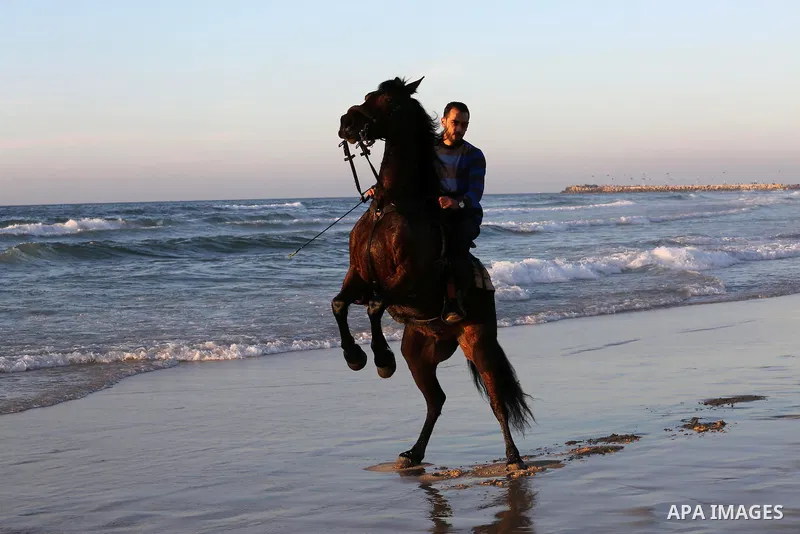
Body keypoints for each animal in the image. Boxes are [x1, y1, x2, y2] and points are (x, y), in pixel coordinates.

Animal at [333, 77, 533, 470]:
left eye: (391, 103)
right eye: (368, 95)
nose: (347, 123)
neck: (390, 206)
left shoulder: (408, 280)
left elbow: (374, 307)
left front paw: (380, 359)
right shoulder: (357, 275)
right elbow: (339, 304)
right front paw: (354, 356)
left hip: (478, 344)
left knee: (496, 399)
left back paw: (513, 458)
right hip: (419, 356)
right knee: (436, 400)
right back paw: (414, 453)